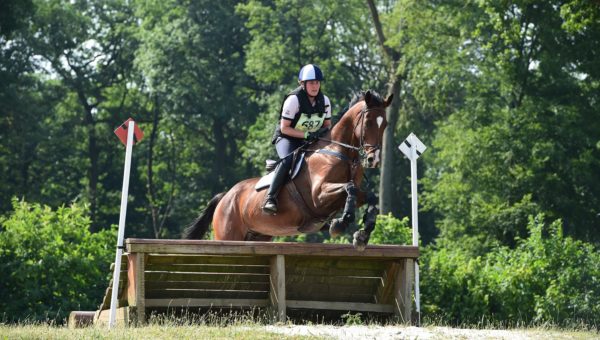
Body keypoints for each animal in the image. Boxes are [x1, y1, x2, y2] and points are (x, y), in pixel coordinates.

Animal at [183, 90, 394, 250]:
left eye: (385, 124)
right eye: (368, 122)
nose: (373, 159)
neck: (341, 153)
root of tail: (225, 196)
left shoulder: (345, 195)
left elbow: (368, 196)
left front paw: (363, 233)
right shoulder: (319, 196)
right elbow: (349, 187)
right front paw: (340, 224)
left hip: (258, 235)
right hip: (228, 235)